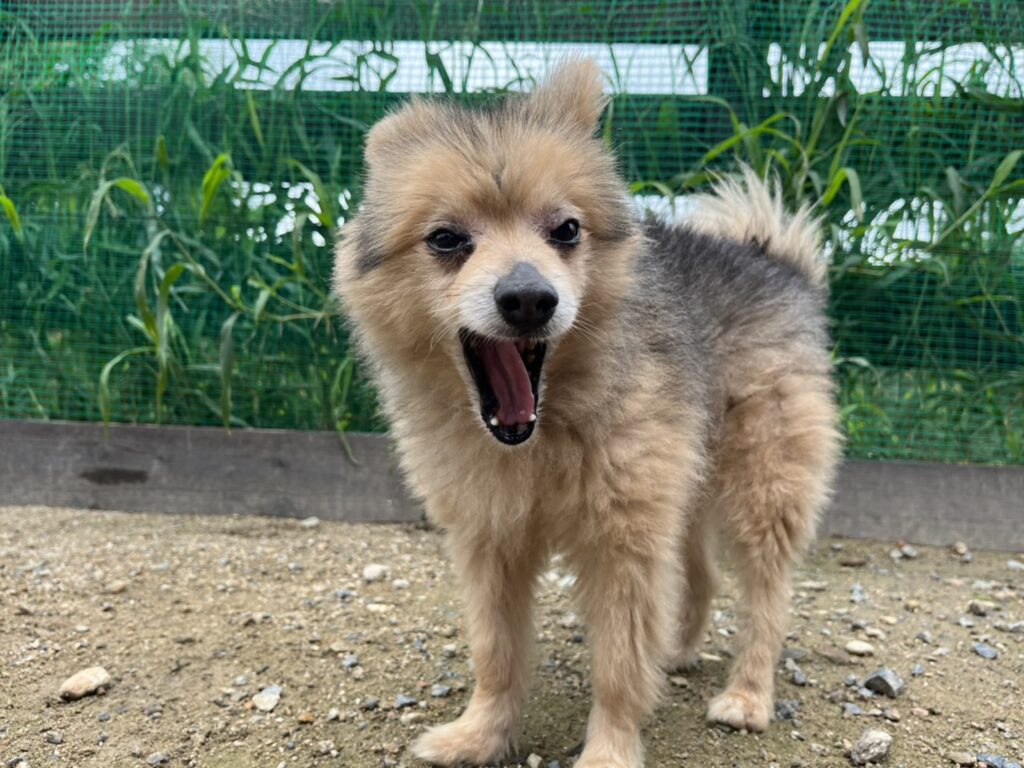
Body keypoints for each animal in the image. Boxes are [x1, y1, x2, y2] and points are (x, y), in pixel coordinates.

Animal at [332, 59, 841, 768]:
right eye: (446, 239)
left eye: (566, 230)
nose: (527, 297)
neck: (541, 433)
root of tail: (774, 257)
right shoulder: (490, 539)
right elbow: (496, 652)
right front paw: (478, 735)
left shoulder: (622, 541)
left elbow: (619, 664)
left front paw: (610, 750)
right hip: (683, 477)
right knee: (702, 574)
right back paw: (678, 652)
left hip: (762, 479)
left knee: (766, 593)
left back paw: (747, 695)